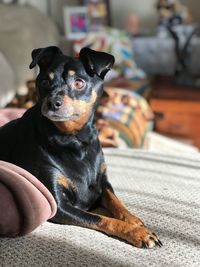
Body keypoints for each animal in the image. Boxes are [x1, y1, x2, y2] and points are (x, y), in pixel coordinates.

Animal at [0, 46, 162, 249]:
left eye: (79, 83)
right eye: (44, 82)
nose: (52, 102)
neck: (74, 139)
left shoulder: (103, 184)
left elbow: (117, 202)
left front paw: (134, 220)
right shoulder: (59, 205)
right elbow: (101, 218)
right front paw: (137, 232)